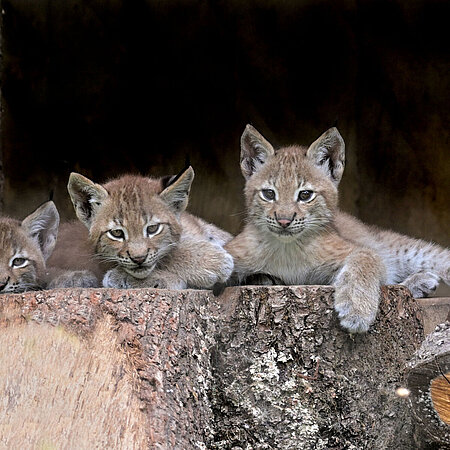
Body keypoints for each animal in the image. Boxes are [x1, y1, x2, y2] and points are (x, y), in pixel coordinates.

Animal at [227, 125, 448, 332]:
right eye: (268, 194)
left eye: (305, 195)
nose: (283, 221)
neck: (288, 246)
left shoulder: (361, 250)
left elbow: (365, 260)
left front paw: (356, 309)